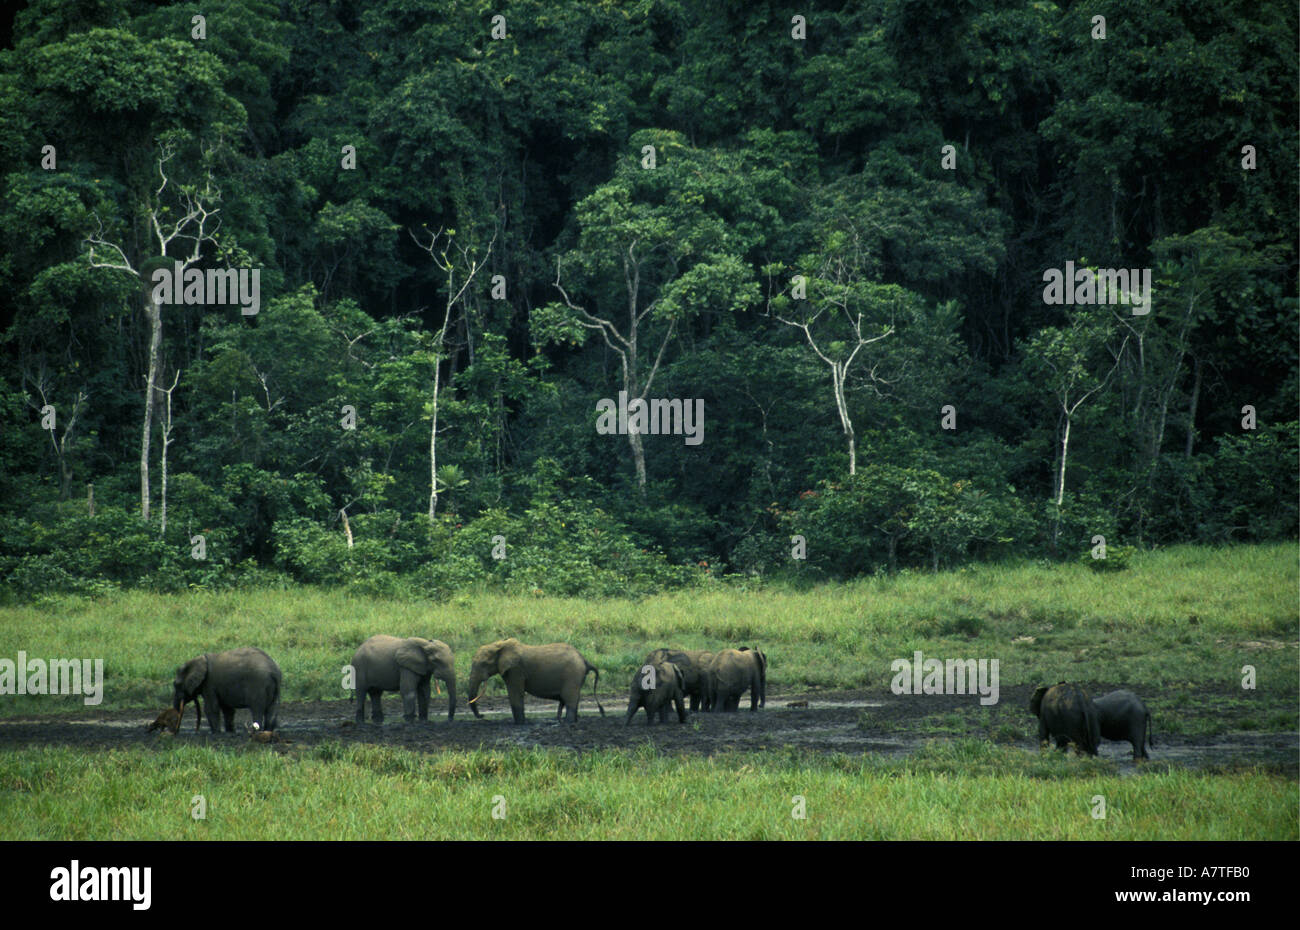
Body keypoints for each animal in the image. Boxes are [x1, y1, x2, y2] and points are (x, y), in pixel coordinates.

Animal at [465, 639, 605, 728]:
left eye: (484, 664)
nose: (482, 715)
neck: (500, 645)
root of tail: (584, 660)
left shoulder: (515, 670)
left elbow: (516, 694)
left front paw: (519, 724)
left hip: (572, 675)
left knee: (570, 699)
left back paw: (568, 723)